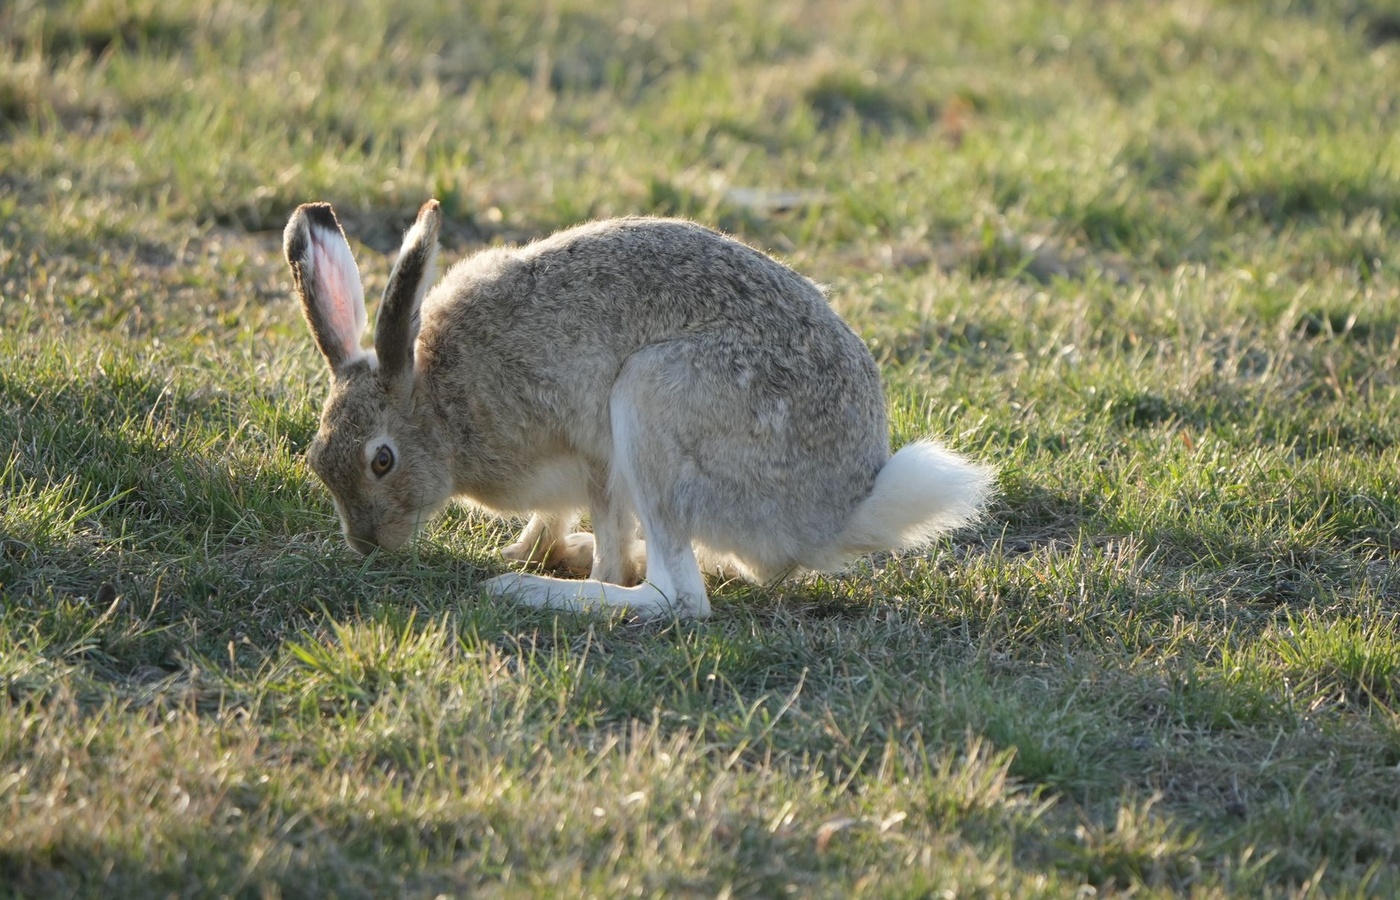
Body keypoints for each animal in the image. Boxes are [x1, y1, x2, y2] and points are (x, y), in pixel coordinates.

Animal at [284, 199, 993, 620]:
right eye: (318, 462)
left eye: (381, 461)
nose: (369, 546)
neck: (440, 403)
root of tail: (837, 513)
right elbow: (555, 518)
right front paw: (532, 548)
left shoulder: (594, 456)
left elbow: (607, 535)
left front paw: (542, 567)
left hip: (651, 406)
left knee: (676, 598)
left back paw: (538, 591)